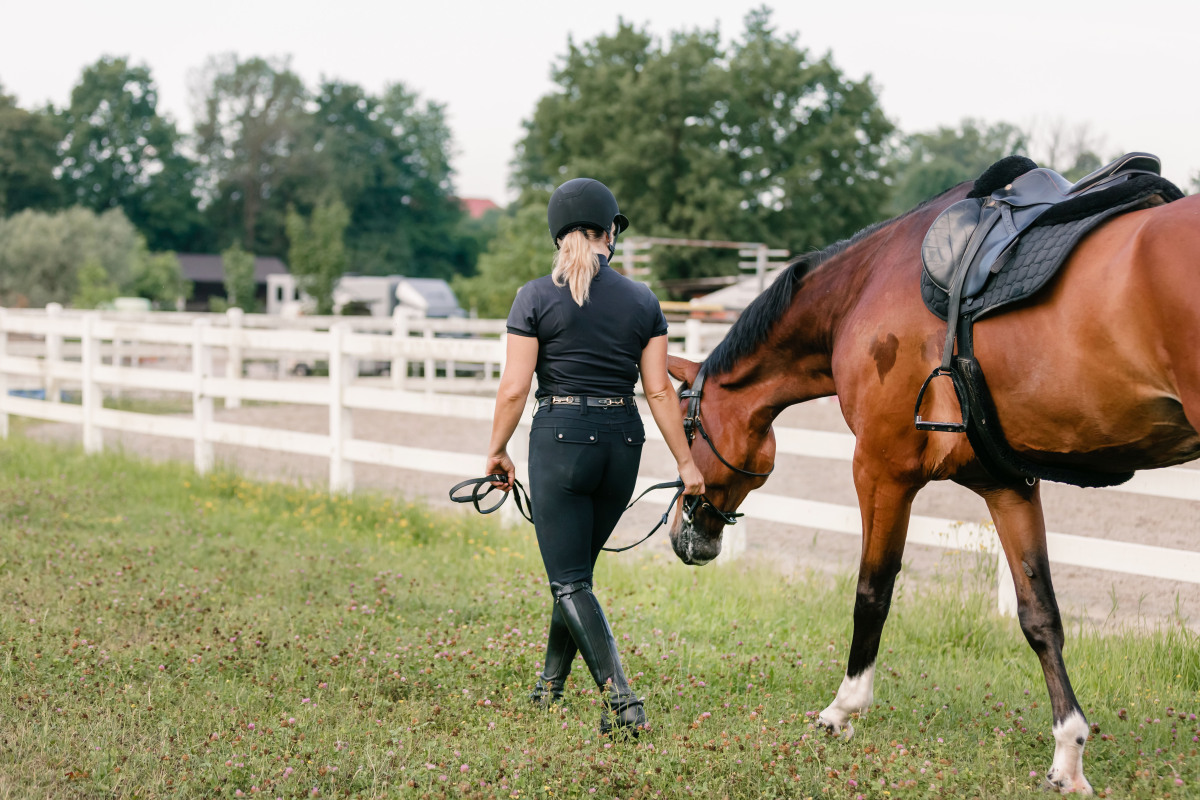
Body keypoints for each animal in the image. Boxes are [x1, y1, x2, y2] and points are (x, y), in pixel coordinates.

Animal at [667, 183, 1200, 796]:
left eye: (684, 428)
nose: (684, 536)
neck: (863, 289)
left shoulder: (880, 469)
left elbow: (872, 592)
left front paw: (842, 710)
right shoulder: (1008, 486)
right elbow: (1039, 615)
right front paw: (1068, 754)